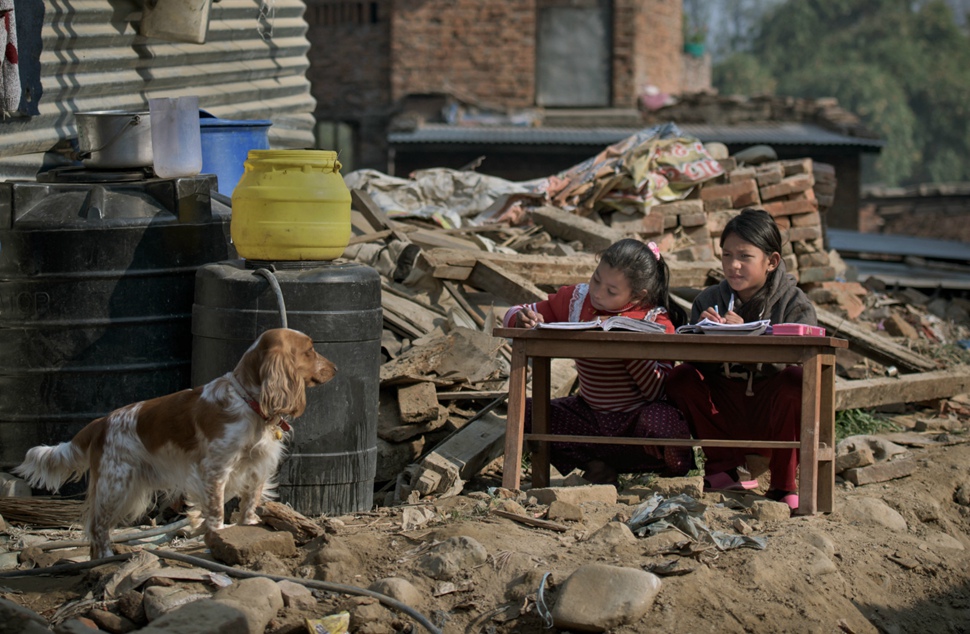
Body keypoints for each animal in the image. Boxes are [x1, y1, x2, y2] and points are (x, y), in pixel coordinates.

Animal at [10, 328, 336, 556]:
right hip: (116, 486)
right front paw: (218, 536)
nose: (335, 368)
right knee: (97, 529)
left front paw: (248, 524)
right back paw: (105, 558)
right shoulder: (214, 470)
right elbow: (215, 512)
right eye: (310, 350)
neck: (249, 403)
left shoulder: (257, 466)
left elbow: (250, 502)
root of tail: (101, 422)